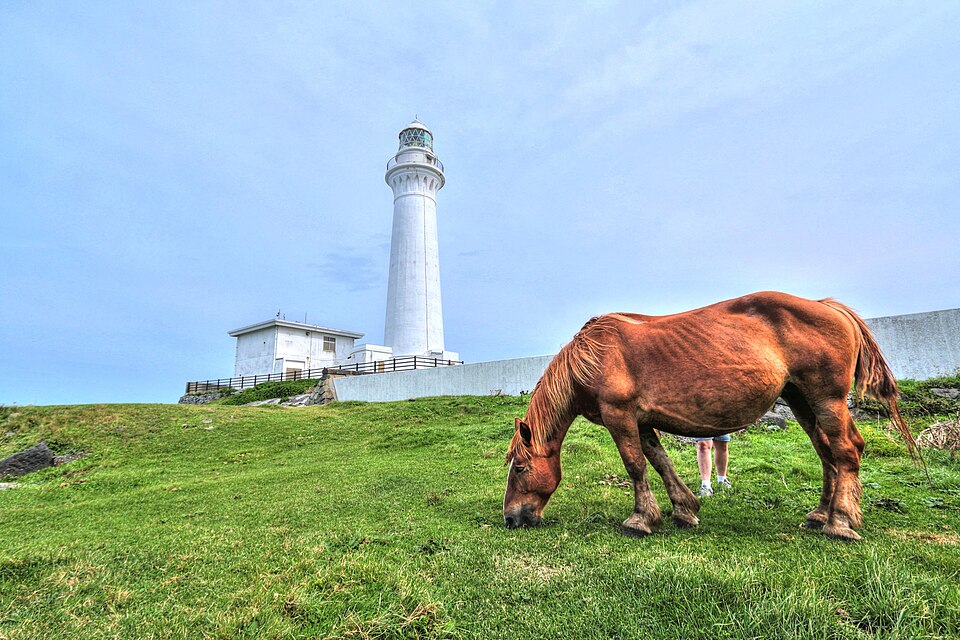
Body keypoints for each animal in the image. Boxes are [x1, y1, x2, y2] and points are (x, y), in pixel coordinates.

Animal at [503, 291, 918, 541]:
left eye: (520, 469)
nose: (510, 518)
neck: (593, 356)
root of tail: (827, 305)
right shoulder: (642, 421)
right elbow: (660, 461)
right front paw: (684, 509)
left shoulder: (619, 416)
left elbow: (635, 465)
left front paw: (641, 520)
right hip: (802, 402)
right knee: (826, 453)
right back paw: (820, 514)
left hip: (826, 400)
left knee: (846, 449)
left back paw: (840, 522)